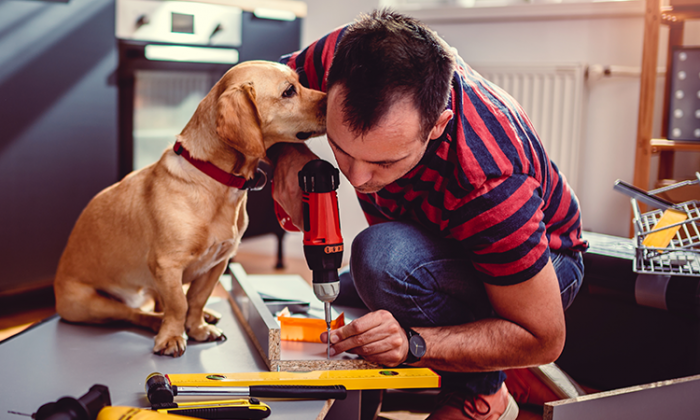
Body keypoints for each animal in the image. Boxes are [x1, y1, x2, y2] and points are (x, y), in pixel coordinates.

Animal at [55, 60, 328, 356]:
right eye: (289, 91)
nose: (333, 97)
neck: (218, 180)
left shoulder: (217, 265)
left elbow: (196, 299)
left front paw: (197, 327)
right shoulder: (167, 265)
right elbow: (178, 304)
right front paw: (172, 336)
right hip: (90, 305)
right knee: (135, 314)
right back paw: (156, 323)